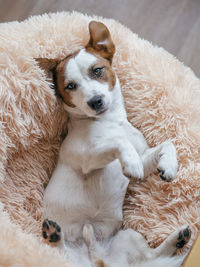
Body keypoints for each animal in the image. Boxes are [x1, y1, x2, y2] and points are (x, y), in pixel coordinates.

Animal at [37, 21, 191, 267]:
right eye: (70, 86)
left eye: (97, 71)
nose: (95, 101)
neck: (110, 121)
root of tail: (98, 259)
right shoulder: (87, 157)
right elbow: (119, 142)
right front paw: (131, 163)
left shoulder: (143, 155)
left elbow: (167, 144)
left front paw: (169, 165)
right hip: (61, 257)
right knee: (58, 251)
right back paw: (54, 235)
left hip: (129, 236)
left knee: (152, 255)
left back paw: (178, 238)